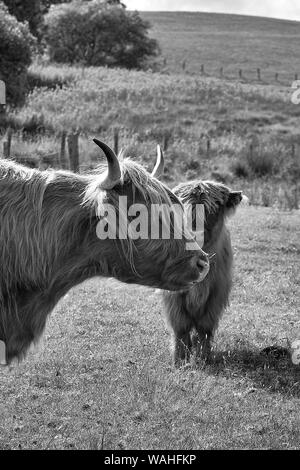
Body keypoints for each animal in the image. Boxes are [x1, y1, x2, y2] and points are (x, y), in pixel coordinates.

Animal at [162, 181, 244, 368]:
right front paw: (180, 360)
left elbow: (205, 328)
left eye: (216, 207)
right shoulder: (174, 296)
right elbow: (181, 327)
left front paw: (203, 359)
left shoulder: (216, 295)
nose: (195, 234)